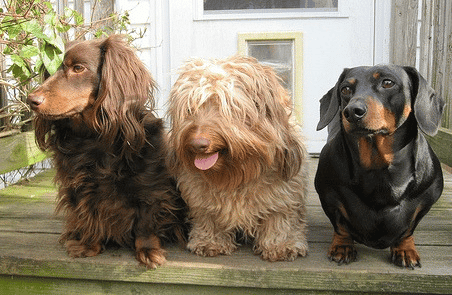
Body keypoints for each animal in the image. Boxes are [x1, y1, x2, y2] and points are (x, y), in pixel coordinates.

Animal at [27, 35, 186, 270]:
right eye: (49, 70)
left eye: (78, 68)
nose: (31, 101)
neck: (93, 137)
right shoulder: (78, 187)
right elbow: (88, 214)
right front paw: (88, 245)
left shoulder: (151, 187)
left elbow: (146, 222)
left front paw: (148, 250)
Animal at [168, 55, 308, 262]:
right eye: (190, 109)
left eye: (226, 107)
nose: (197, 144)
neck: (237, 173)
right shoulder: (200, 197)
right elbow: (208, 216)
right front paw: (210, 242)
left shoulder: (285, 196)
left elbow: (279, 218)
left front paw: (281, 245)